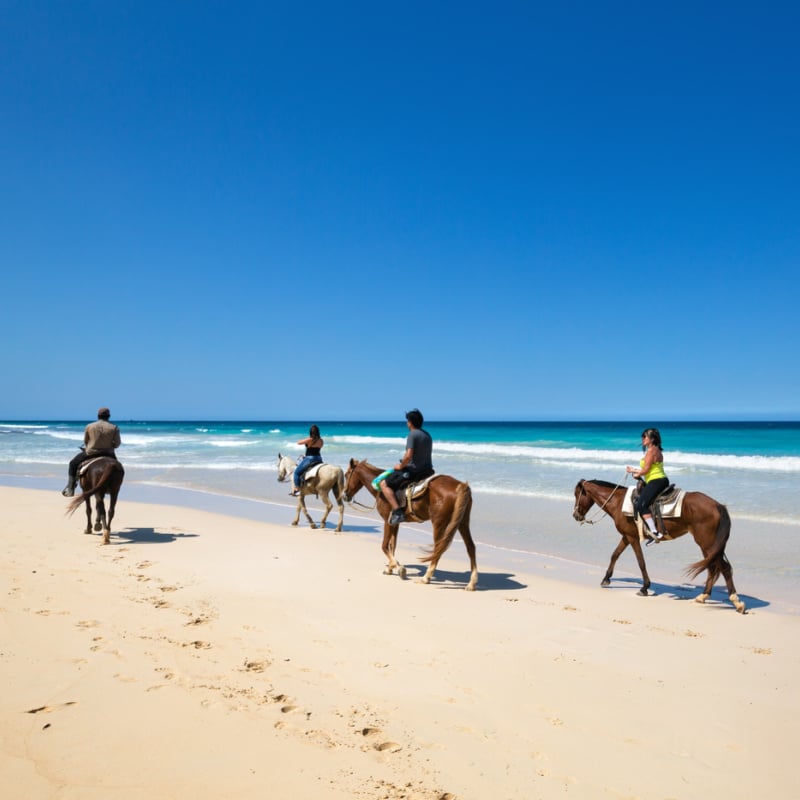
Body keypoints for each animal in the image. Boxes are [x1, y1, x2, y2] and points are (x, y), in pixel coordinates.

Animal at [342, 460, 476, 592]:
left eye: (347, 474)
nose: (344, 495)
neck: (381, 491)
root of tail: (460, 485)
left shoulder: (387, 521)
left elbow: (384, 546)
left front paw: (398, 567)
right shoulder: (395, 523)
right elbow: (392, 545)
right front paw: (391, 567)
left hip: (439, 522)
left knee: (438, 548)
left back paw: (426, 578)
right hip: (462, 522)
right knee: (470, 547)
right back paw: (472, 583)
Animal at [568, 482, 744, 612]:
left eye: (577, 495)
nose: (576, 516)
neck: (618, 502)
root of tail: (718, 506)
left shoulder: (632, 538)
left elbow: (640, 562)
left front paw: (645, 587)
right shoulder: (626, 536)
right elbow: (615, 555)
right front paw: (606, 579)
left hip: (706, 543)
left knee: (723, 568)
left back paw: (736, 602)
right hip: (711, 546)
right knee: (714, 568)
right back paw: (703, 596)